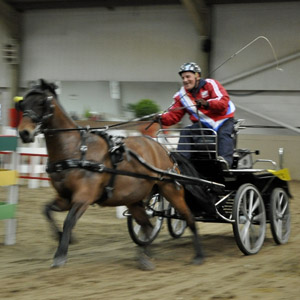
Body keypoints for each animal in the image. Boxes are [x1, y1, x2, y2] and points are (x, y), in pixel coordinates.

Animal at [16, 79, 206, 270]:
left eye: (42, 102)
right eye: (22, 103)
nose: (24, 133)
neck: (76, 150)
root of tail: (164, 150)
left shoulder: (83, 197)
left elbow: (69, 221)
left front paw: (60, 255)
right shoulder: (64, 198)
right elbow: (46, 211)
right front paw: (63, 237)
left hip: (170, 190)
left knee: (188, 218)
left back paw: (198, 255)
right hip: (134, 199)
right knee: (147, 226)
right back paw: (145, 256)